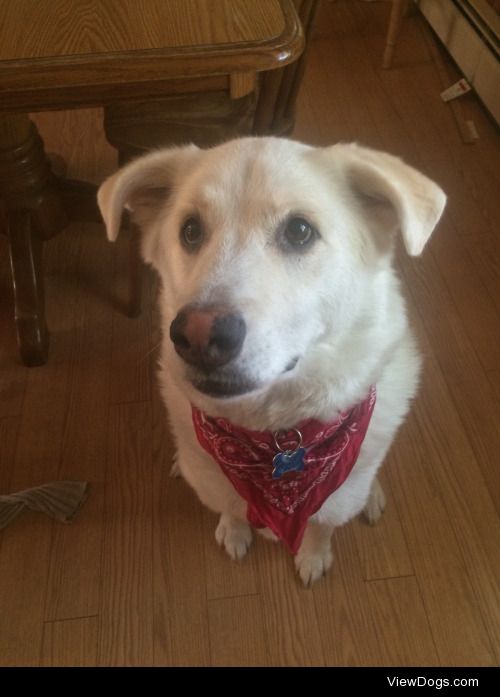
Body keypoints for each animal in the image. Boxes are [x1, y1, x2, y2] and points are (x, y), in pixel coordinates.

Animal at [97, 136, 446, 580]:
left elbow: (321, 527)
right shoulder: (216, 481)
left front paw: (313, 556)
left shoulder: (335, 497)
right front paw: (234, 531)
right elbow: (230, 508)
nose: (197, 335)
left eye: (299, 231)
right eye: (190, 230)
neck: (277, 433)